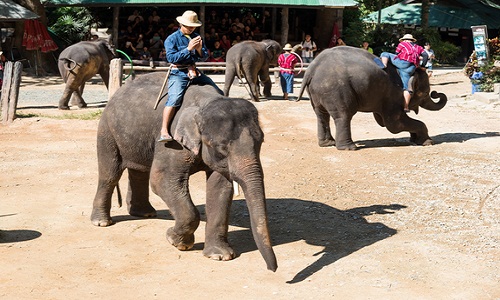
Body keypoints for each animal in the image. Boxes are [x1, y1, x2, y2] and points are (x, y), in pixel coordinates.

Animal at [90, 72, 278, 272]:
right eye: (221, 148)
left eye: (261, 141)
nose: (272, 269)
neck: (205, 102)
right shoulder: (171, 140)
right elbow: (161, 179)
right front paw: (176, 241)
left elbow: (220, 187)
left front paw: (219, 256)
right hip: (107, 130)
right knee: (110, 174)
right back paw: (101, 222)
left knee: (139, 171)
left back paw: (144, 213)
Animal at [298, 45, 448, 150]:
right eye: (425, 93)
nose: (435, 93)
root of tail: (311, 69)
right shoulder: (394, 94)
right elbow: (394, 124)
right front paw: (428, 142)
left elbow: (384, 121)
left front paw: (415, 139)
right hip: (336, 90)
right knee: (343, 115)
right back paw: (349, 148)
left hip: (318, 91)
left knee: (321, 114)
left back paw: (328, 144)